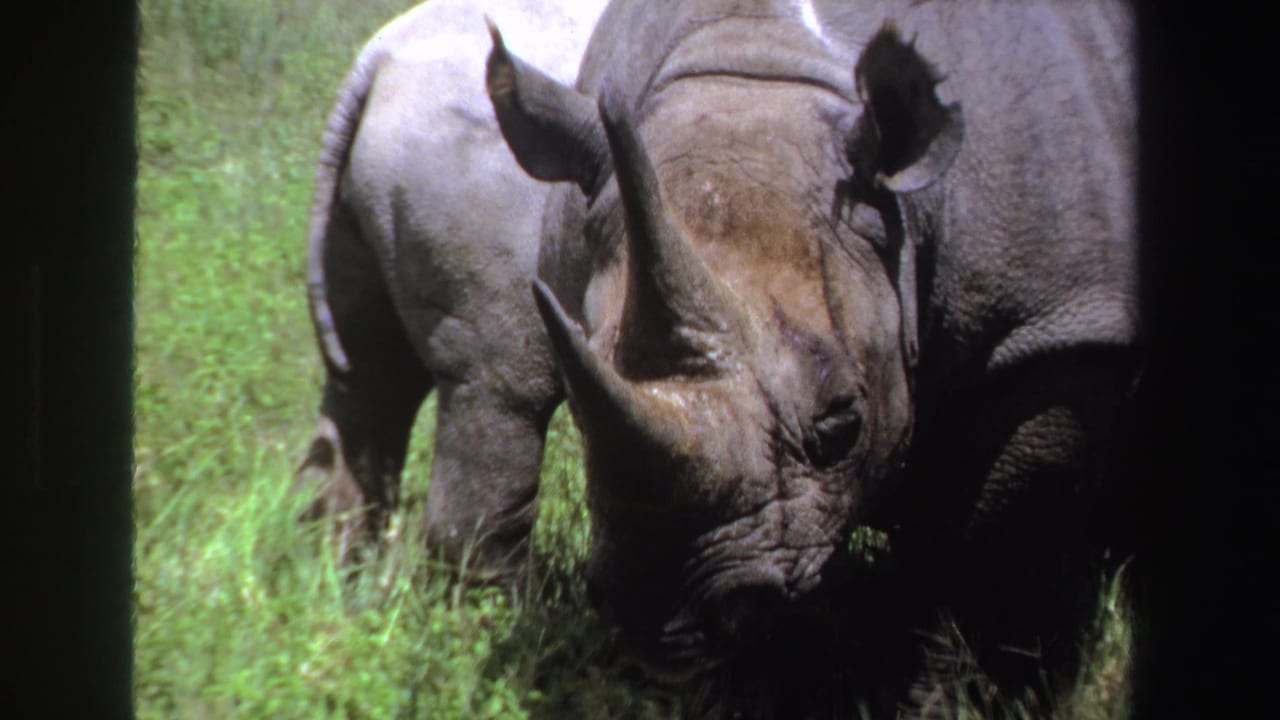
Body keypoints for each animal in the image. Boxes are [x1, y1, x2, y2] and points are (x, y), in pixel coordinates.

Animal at [295, 0, 606, 573]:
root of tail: (378, 61)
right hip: (483, 195)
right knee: (502, 390)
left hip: (359, 210)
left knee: (368, 380)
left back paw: (335, 575)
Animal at [487, 0, 1137, 713]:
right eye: (579, 415)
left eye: (841, 424)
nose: (661, 620)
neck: (763, 67)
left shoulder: (1045, 328)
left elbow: (975, 561)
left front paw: (947, 705)